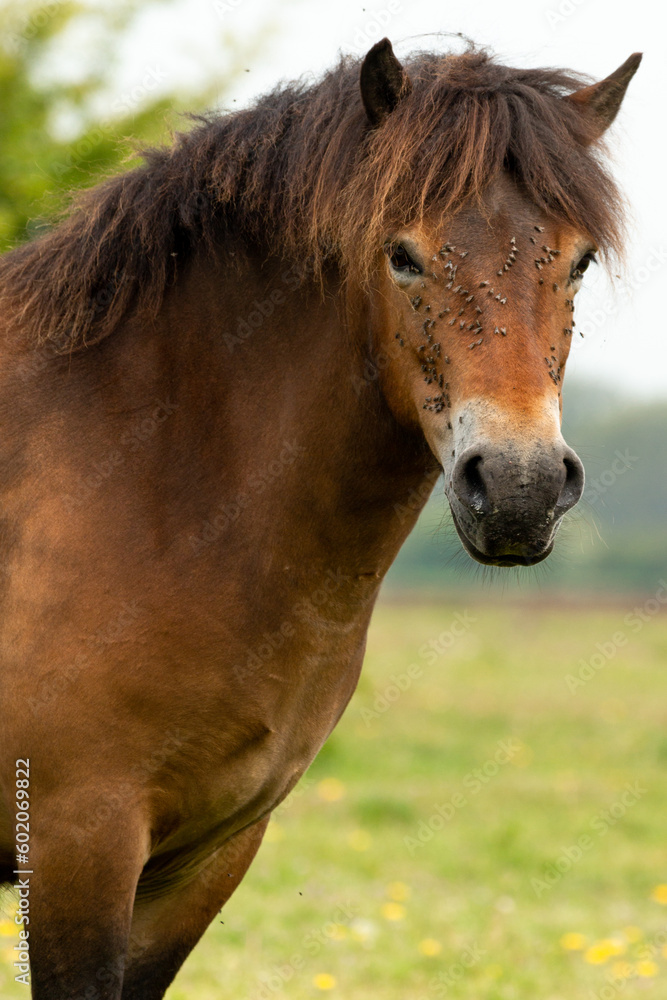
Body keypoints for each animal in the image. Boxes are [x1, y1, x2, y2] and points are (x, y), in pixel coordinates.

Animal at [0, 37, 640, 999]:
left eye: (578, 261)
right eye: (402, 255)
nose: (519, 488)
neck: (157, 482)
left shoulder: (202, 861)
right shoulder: (79, 845)